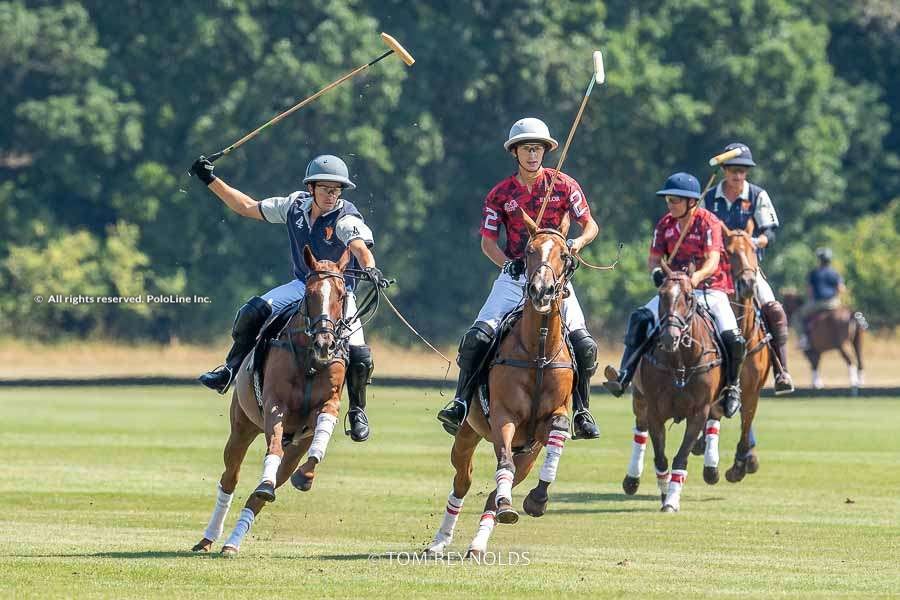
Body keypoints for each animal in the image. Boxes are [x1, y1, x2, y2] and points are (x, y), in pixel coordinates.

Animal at [192, 246, 352, 556]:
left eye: (341, 295)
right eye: (309, 294)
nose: (325, 345)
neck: (309, 359)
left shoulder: (328, 404)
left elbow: (322, 432)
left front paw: (307, 474)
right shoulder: (275, 405)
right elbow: (273, 448)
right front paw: (267, 479)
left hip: (296, 444)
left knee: (262, 493)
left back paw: (232, 543)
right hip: (241, 426)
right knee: (231, 478)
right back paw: (209, 538)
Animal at [426, 212, 572, 556]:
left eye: (563, 255)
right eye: (529, 251)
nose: (542, 291)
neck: (538, 352)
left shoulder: (550, 422)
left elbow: (558, 430)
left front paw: (537, 500)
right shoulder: (504, 417)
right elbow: (501, 463)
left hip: (528, 453)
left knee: (494, 492)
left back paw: (480, 540)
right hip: (469, 433)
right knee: (463, 480)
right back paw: (440, 540)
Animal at [624, 264, 724, 512]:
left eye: (688, 297)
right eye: (661, 295)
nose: (670, 337)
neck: (680, 363)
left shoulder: (699, 411)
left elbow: (681, 457)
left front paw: (671, 499)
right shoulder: (655, 411)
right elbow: (660, 458)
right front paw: (664, 492)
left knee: (716, 418)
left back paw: (711, 469)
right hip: (639, 399)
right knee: (640, 430)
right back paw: (631, 480)